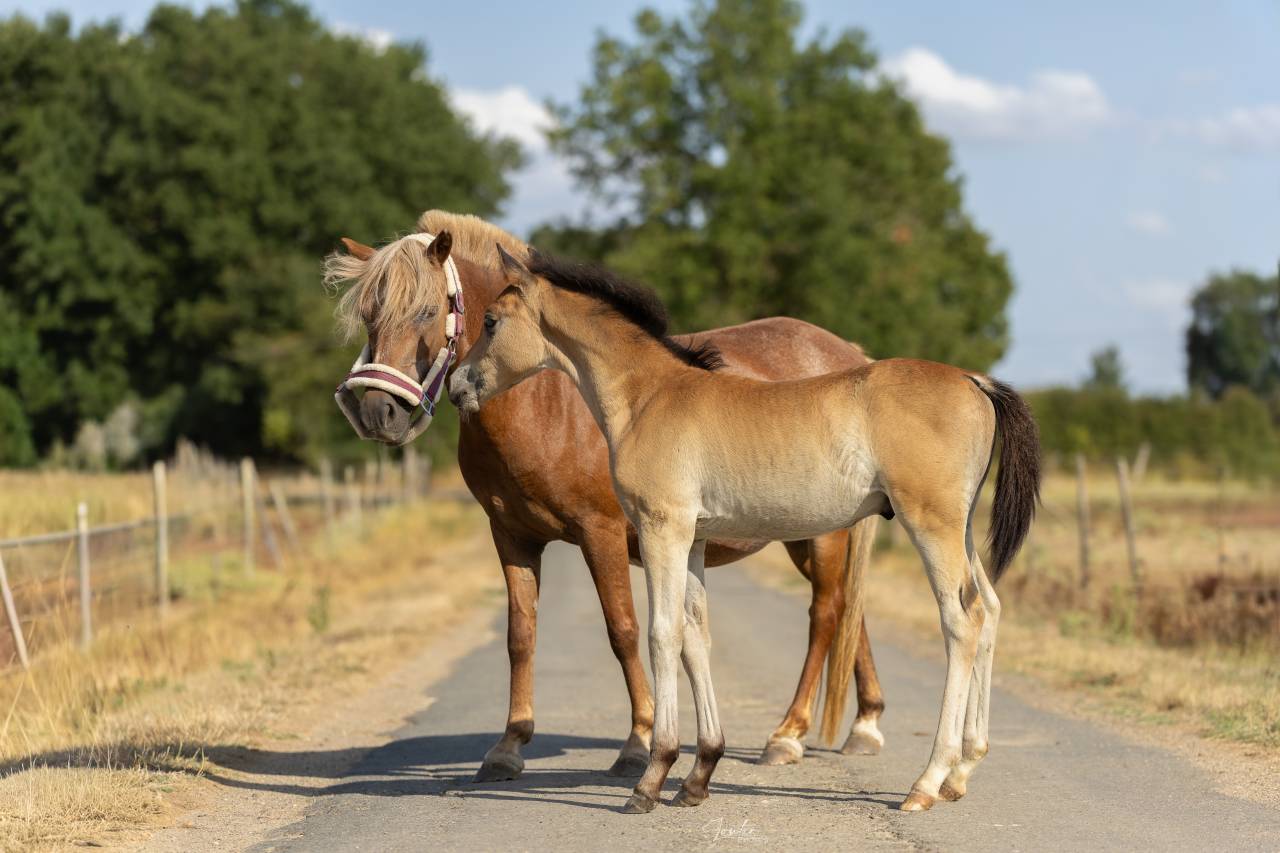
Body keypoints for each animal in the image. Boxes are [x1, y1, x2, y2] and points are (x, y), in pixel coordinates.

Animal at [324, 212, 888, 783]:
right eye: (369, 315)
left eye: (426, 310)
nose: (378, 414)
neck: (548, 400)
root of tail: (851, 355)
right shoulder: (511, 537)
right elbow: (520, 635)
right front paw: (508, 745)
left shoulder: (602, 533)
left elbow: (623, 630)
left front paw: (638, 741)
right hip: (804, 531)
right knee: (851, 611)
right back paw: (865, 725)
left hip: (822, 536)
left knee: (825, 613)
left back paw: (788, 734)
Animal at [448, 245, 1041, 813]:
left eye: (491, 321)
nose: (456, 387)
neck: (648, 398)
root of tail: (974, 381)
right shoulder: (694, 540)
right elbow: (696, 637)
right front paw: (698, 776)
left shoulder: (663, 530)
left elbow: (662, 634)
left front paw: (651, 778)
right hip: (961, 530)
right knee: (988, 609)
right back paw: (961, 772)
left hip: (929, 525)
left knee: (960, 622)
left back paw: (925, 781)